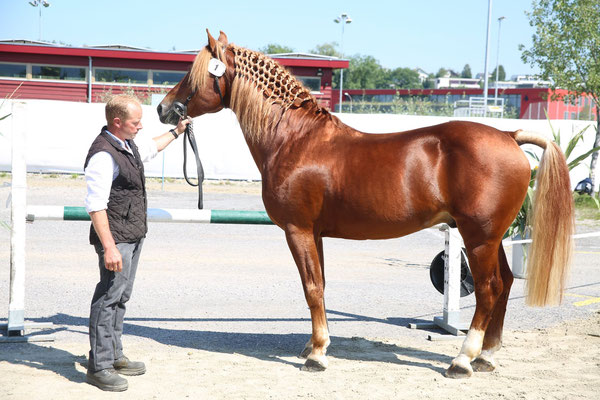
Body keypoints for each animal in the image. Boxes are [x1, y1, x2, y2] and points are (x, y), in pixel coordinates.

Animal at [157, 31, 576, 378]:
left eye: (194, 74)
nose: (164, 109)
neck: (294, 138)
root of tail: (510, 135)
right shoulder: (316, 234)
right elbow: (320, 285)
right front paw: (314, 344)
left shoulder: (298, 231)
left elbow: (312, 288)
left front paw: (318, 355)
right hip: (490, 239)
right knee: (504, 285)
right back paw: (486, 356)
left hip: (479, 239)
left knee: (489, 289)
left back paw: (463, 360)